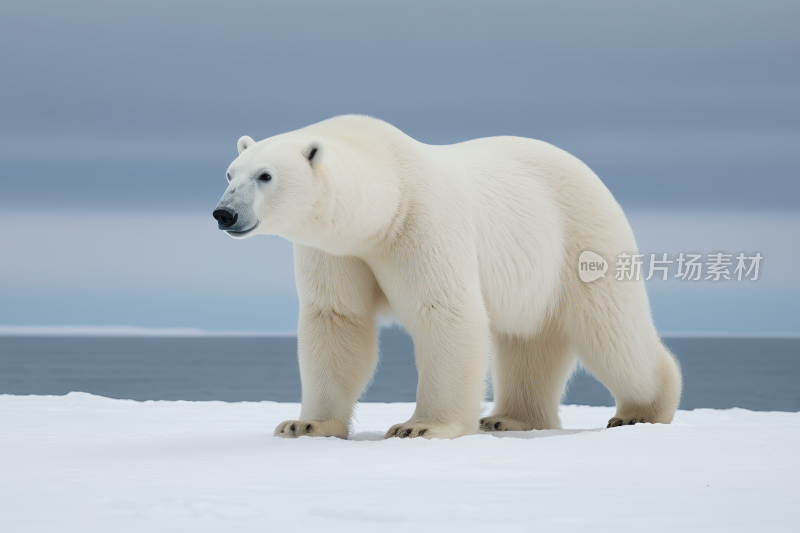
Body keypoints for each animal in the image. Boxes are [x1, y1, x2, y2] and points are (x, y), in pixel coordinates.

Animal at [212, 114, 680, 438]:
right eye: (230, 173)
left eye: (265, 175)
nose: (223, 213)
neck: (388, 195)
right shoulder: (337, 251)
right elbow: (336, 319)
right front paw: (305, 424)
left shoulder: (422, 222)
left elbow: (444, 310)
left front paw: (418, 427)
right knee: (529, 340)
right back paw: (509, 418)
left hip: (579, 238)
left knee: (611, 331)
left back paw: (641, 411)